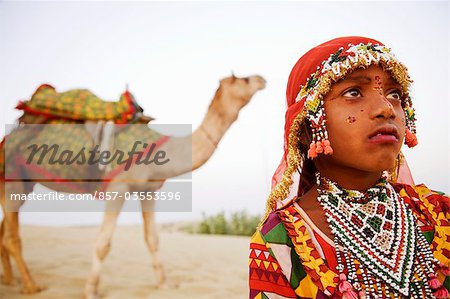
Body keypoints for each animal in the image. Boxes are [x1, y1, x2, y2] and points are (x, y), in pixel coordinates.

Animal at [0, 74, 266, 298]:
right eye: (243, 79)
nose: (261, 79)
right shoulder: (117, 189)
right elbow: (103, 243)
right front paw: (91, 290)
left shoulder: (148, 189)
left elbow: (153, 238)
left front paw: (165, 284)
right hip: (13, 177)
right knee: (12, 236)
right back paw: (31, 285)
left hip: (22, 183)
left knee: (6, 231)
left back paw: (11, 281)